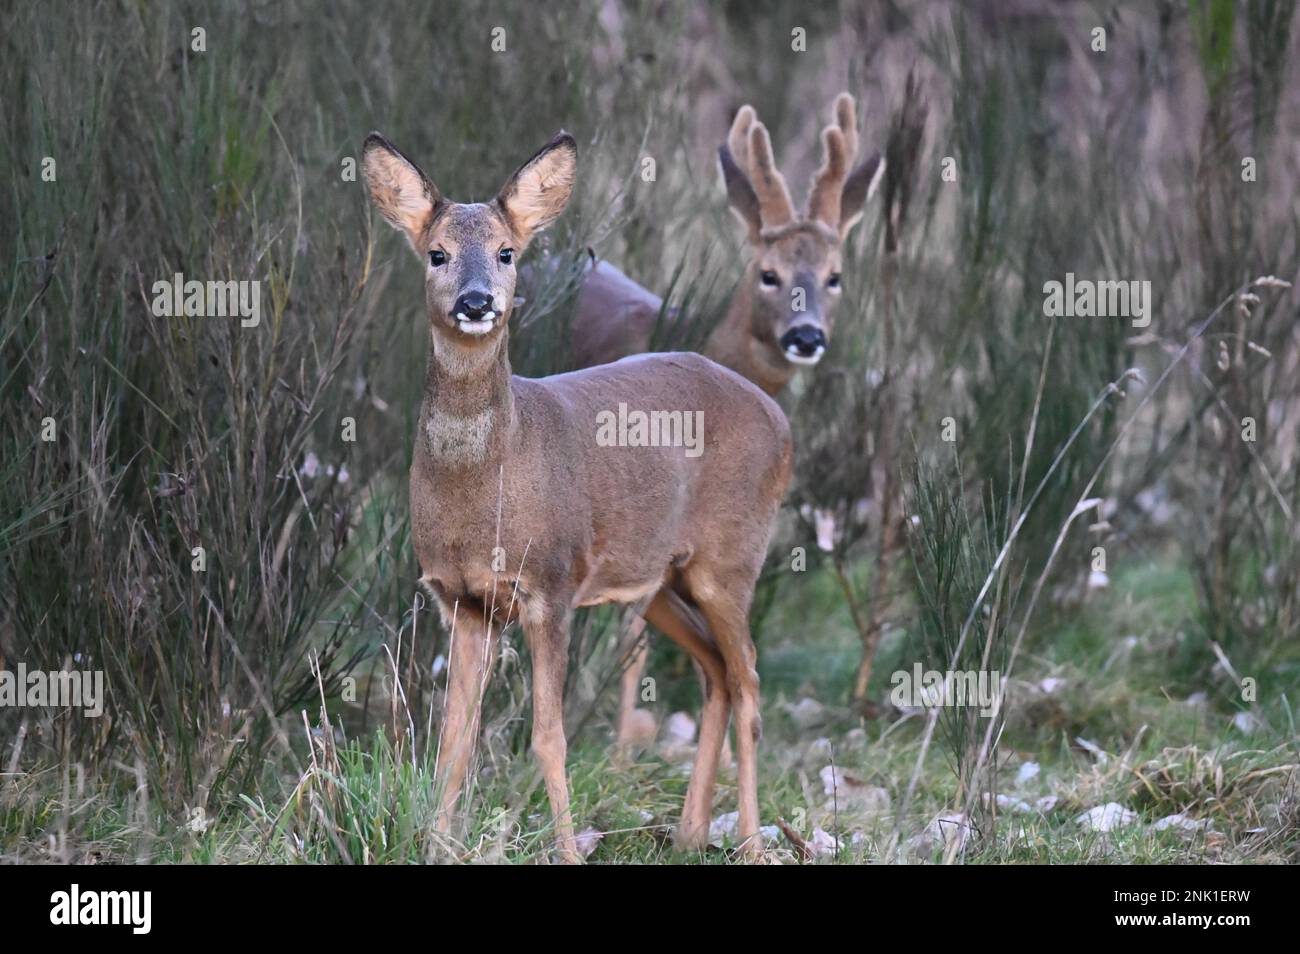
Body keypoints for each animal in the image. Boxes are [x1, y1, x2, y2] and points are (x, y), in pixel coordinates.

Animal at [361, 130, 793, 861]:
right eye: (437, 252)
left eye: (507, 251)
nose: (476, 301)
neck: (486, 489)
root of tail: (782, 422)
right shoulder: (462, 600)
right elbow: (454, 740)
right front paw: (438, 844)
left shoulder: (551, 584)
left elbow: (548, 738)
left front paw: (564, 850)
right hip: (661, 580)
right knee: (716, 672)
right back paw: (689, 832)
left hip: (731, 559)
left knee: (752, 685)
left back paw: (753, 842)